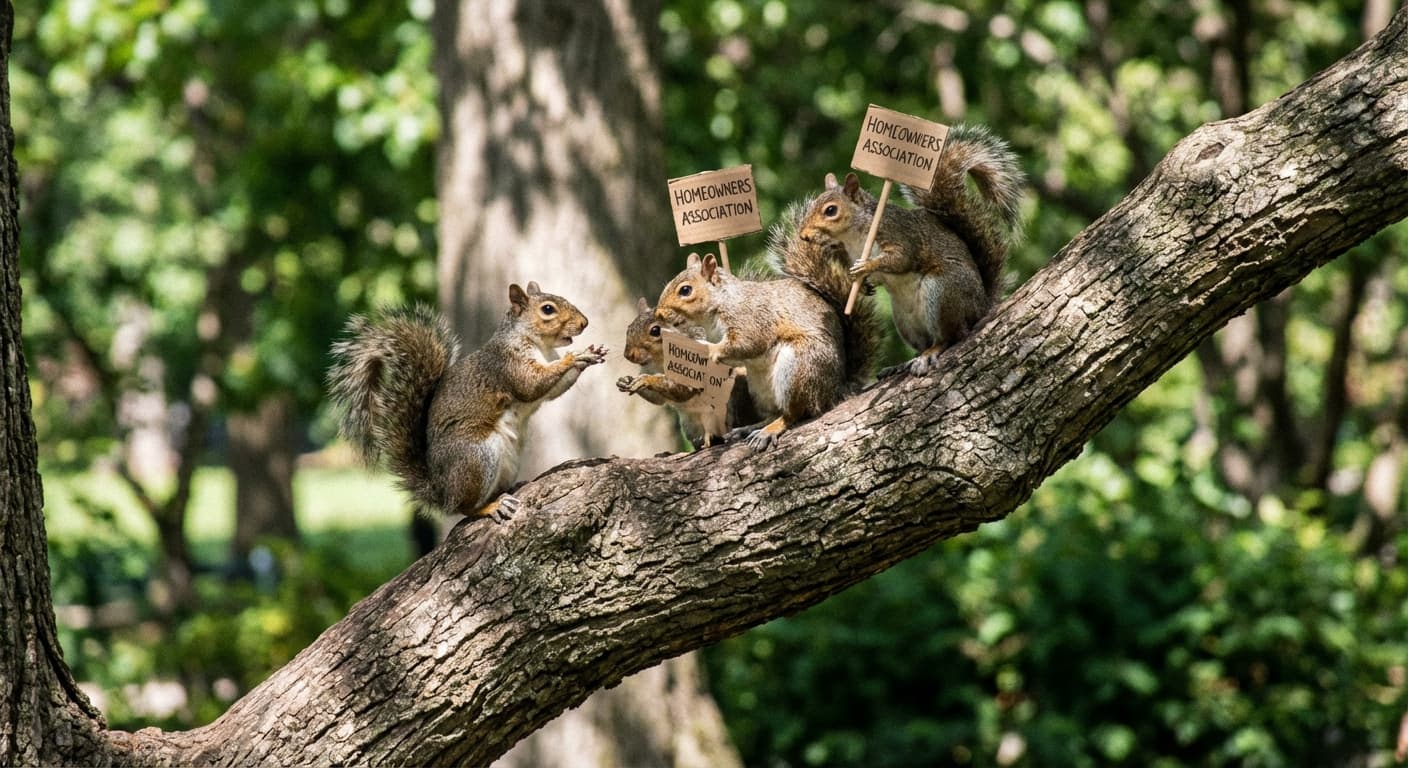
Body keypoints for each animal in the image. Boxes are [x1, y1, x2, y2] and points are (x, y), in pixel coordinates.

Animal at [326, 282, 606, 522]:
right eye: (548, 309)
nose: (585, 322)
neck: (541, 346)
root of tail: (442, 492)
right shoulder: (506, 365)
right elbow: (531, 385)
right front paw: (573, 357)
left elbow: (554, 389)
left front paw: (588, 355)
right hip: (476, 456)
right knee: (464, 508)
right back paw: (490, 506)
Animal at [616, 297, 759, 449]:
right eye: (629, 328)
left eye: (655, 330)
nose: (628, 355)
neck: (660, 360)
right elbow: (657, 399)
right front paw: (625, 380)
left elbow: (682, 389)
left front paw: (647, 380)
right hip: (689, 426)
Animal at [654, 252, 846, 451]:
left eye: (685, 290)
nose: (659, 314)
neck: (722, 300)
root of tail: (832, 391)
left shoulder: (750, 318)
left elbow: (747, 342)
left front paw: (709, 350)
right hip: (758, 386)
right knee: (775, 412)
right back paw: (749, 428)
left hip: (798, 367)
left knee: (794, 413)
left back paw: (769, 430)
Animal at [799, 123, 1026, 376]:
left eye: (831, 210)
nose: (803, 236)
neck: (853, 236)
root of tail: (981, 307)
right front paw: (863, 283)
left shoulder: (897, 234)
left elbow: (901, 260)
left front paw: (867, 266)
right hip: (905, 320)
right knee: (926, 340)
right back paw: (902, 364)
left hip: (943, 292)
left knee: (950, 336)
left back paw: (930, 353)